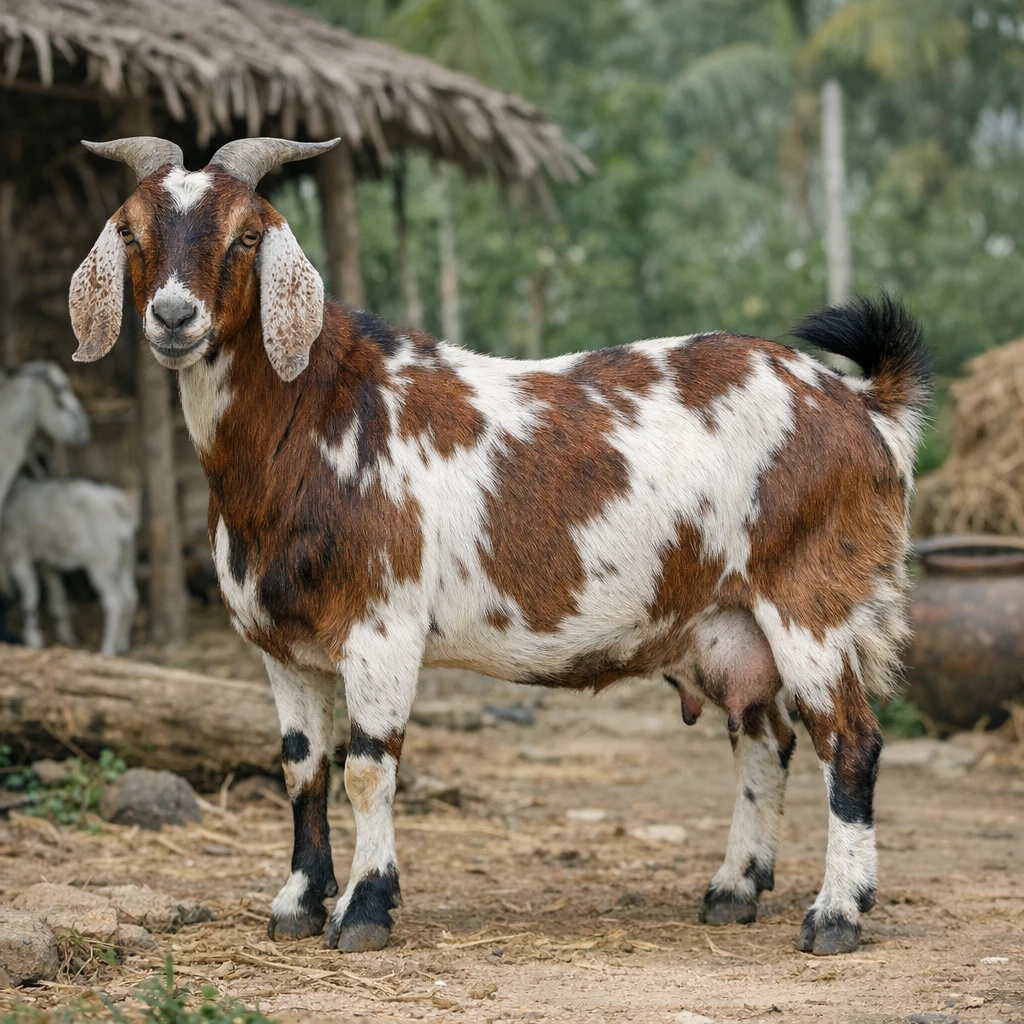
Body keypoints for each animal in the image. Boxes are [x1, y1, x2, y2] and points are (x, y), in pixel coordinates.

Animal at [0, 477, 139, 656]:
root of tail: (117, 503)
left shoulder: (19, 554)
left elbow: (30, 597)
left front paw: (33, 639)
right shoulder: (48, 564)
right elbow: (57, 599)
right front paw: (65, 636)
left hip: (102, 562)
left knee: (115, 601)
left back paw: (107, 649)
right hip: (126, 559)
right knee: (130, 596)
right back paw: (122, 643)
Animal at [71, 136, 930, 957]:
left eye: (248, 234)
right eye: (131, 230)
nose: (173, 317)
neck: (314, 415)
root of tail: (860, 404)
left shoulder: (382, 627)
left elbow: (366, 770)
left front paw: (365, 910)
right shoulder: (280, 645)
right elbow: (301, 768)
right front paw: (299, 904)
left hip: (810, 600)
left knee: (849, 743)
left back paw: (835, 915)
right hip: (728, 625)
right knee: (765, 741)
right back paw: (733, 889)